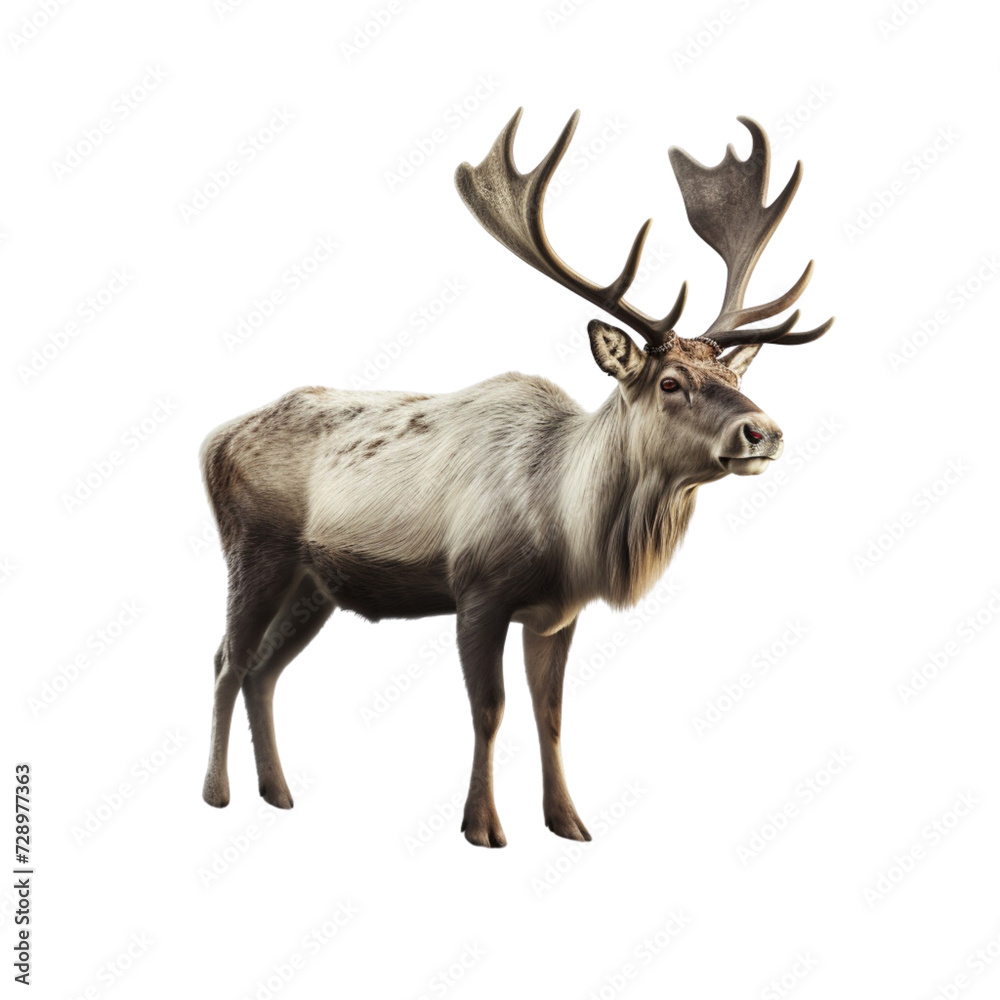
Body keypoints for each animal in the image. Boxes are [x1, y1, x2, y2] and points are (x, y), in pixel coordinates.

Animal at [200, 109, 833, 847]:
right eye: (671, 382)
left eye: (732, 373)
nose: (763, 431)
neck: (568, 529)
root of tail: (213, 440)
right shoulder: (478, 589)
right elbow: (490, 708)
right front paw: (482, 827)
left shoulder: (557, 612)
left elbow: (550, 713)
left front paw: (569, 822)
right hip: (256, 551)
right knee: (227, 659)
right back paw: (217, 793)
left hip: (313, 584)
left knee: (264, 671)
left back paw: (278, 793)